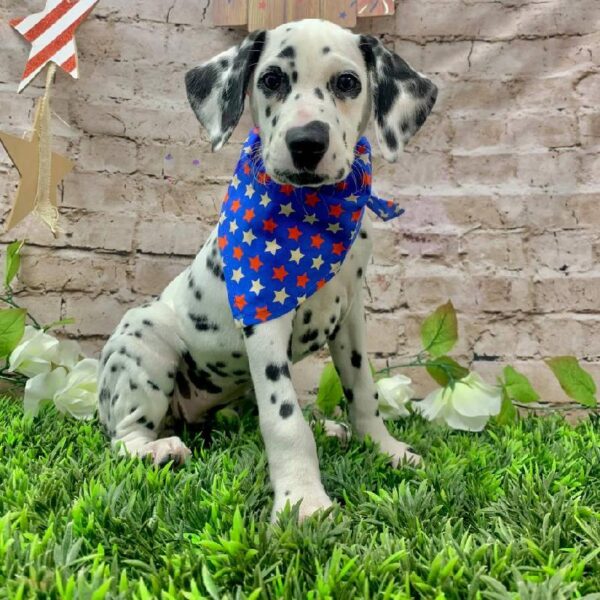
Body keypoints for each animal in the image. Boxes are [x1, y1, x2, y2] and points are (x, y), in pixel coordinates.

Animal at [97, 18, 436, 524]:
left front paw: (384, 449)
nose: (307, 142)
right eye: (272, 79)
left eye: (348, 83)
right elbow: (284, 419)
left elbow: (363, 390)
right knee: (123, 436)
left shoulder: (351, 318)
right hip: (143, 345)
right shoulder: (264, 315)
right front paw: (304, 501)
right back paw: (156, 450)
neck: (313, 213)